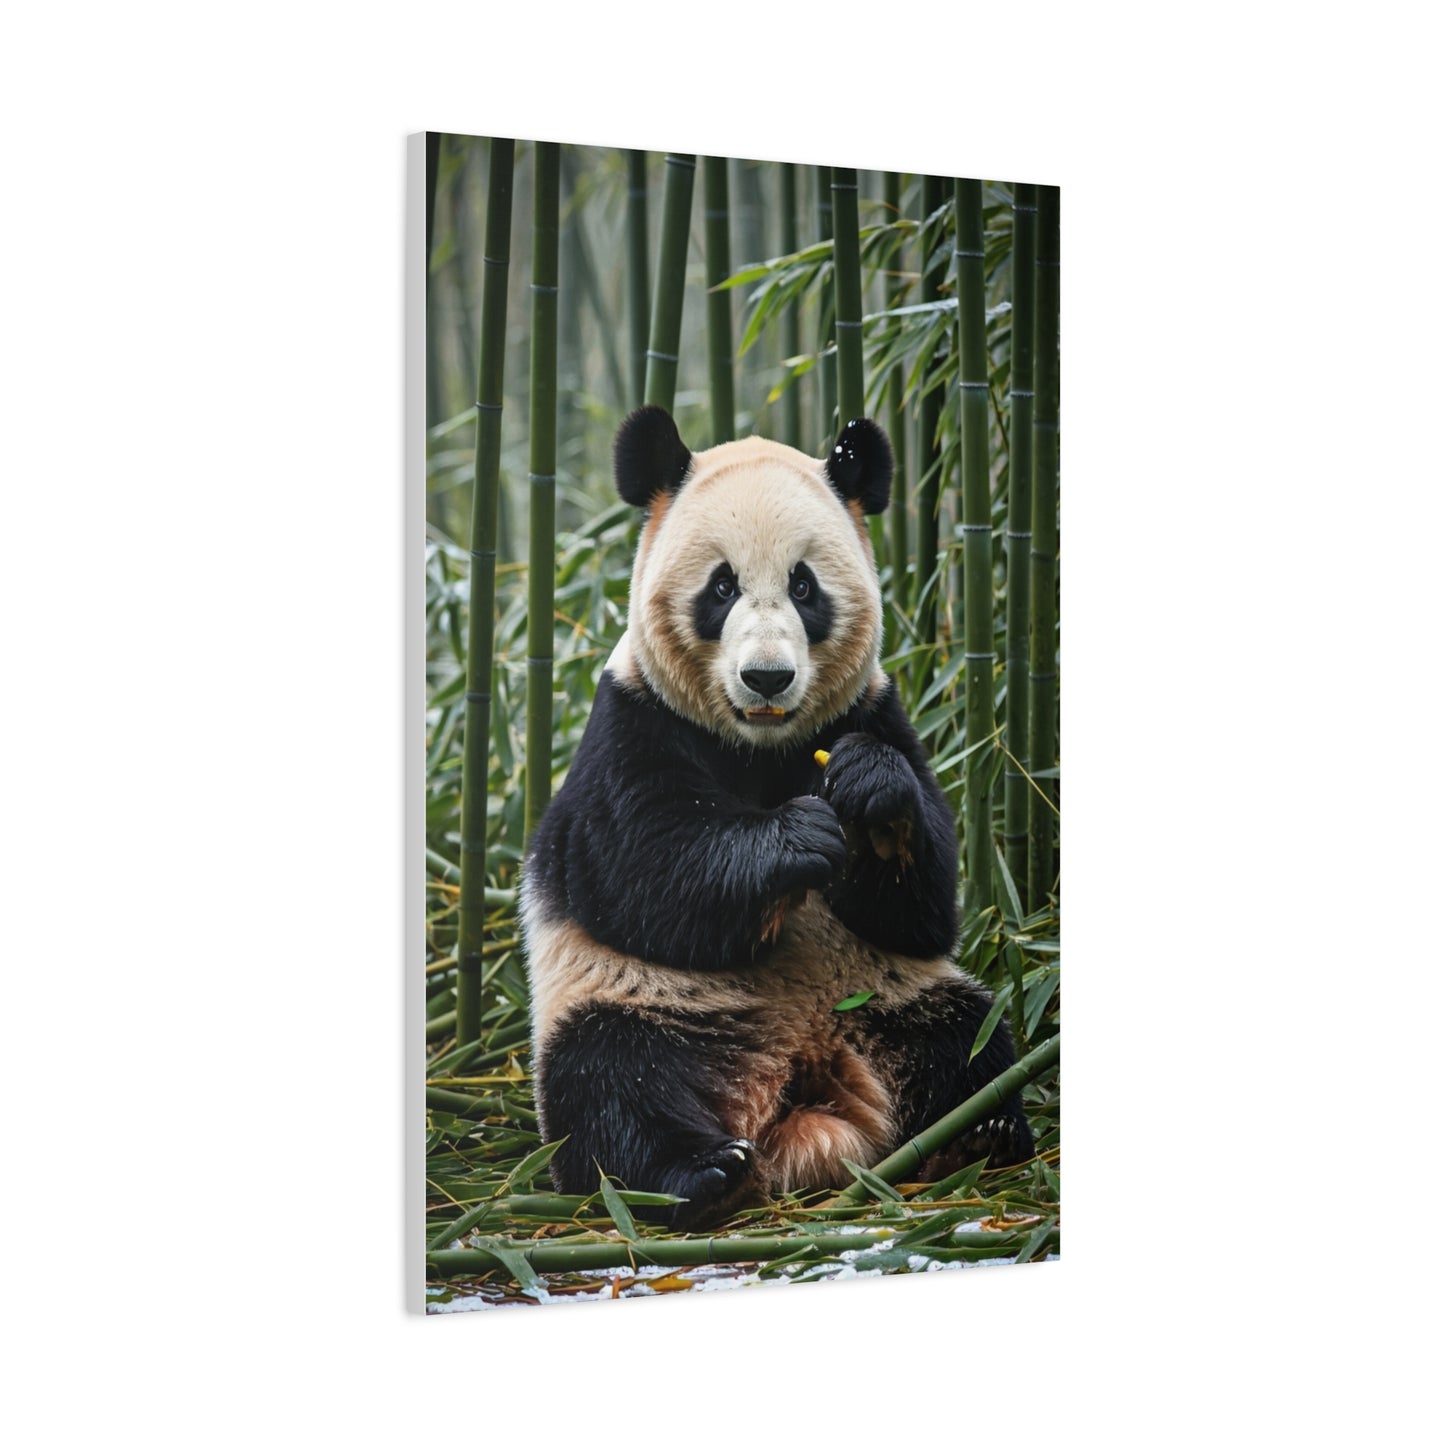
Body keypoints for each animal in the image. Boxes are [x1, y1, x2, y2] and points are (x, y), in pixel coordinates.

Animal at [521, 405, 1031, 1227]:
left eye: (803, 585)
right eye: (721, 586)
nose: (767, 677)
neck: (758, 746)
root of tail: (804, 1080)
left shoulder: (874, 709)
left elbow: (925, 907)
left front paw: (867, 791)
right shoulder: (630, 723)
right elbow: (642, 871)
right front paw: (801, 837)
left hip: (892, 998)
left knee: (969, 1036)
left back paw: (977, 1130)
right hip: (649, 1004)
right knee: (608, 1081)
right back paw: (702, 1173)